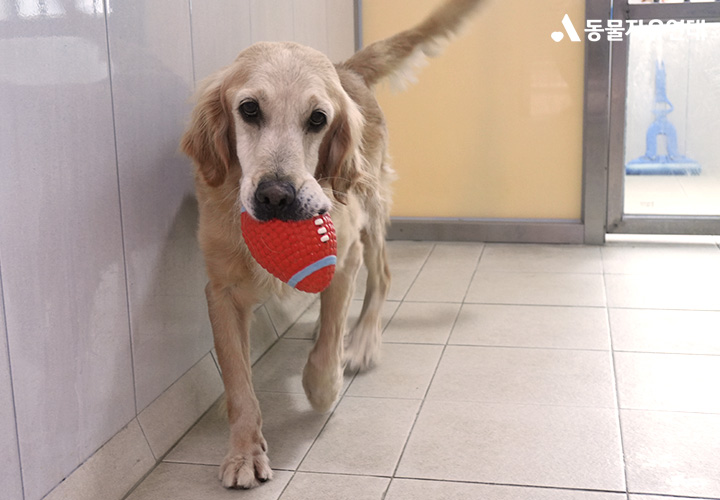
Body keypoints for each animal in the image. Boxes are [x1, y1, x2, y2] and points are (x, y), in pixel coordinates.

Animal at [180, 0, 486, 489]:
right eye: (249, 109)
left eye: (318, 120)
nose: (276, 196)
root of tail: (348, 69)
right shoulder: (220, 289)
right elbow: (238, 382)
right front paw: (244, 451)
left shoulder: (344, 259)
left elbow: (325, 356)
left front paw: (322, 385)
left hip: (371, 213)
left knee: (382, 278)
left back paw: (360, 343)